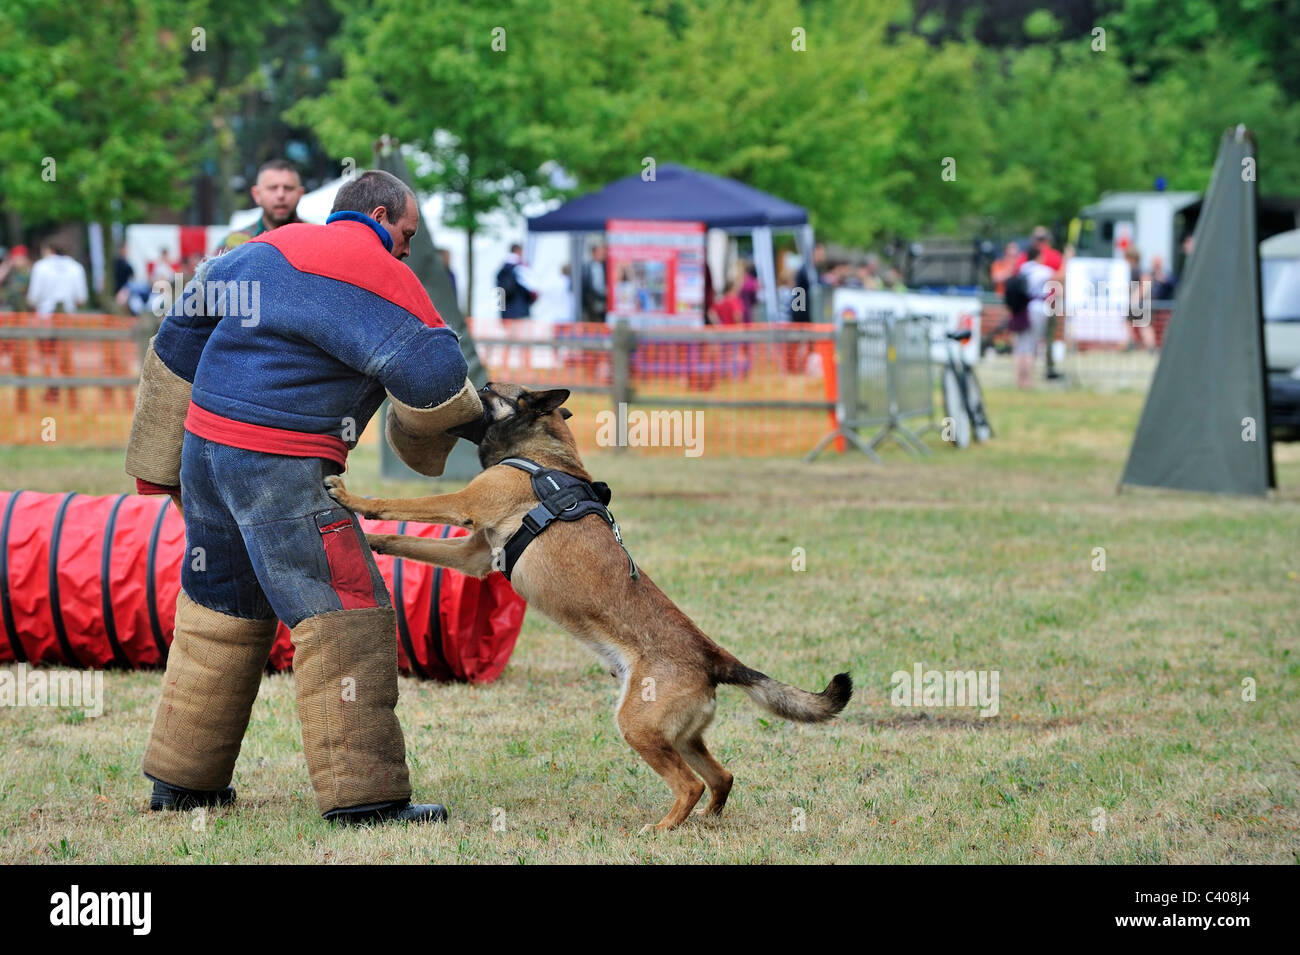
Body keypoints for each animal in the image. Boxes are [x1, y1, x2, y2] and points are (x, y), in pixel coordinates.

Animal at [325, 384, 852, 831]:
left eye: (492, 390)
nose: (465, 389)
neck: (541, 456)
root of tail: (713, 657)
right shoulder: (473, 556)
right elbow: (406, 539)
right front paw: (372, 542)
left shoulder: (467, 504)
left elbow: (400, 503)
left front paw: (353, 497)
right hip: (679, 735)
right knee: (721, 777)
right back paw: (705, 821)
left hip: (638, 726)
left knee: (691, 784)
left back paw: (663, 827)